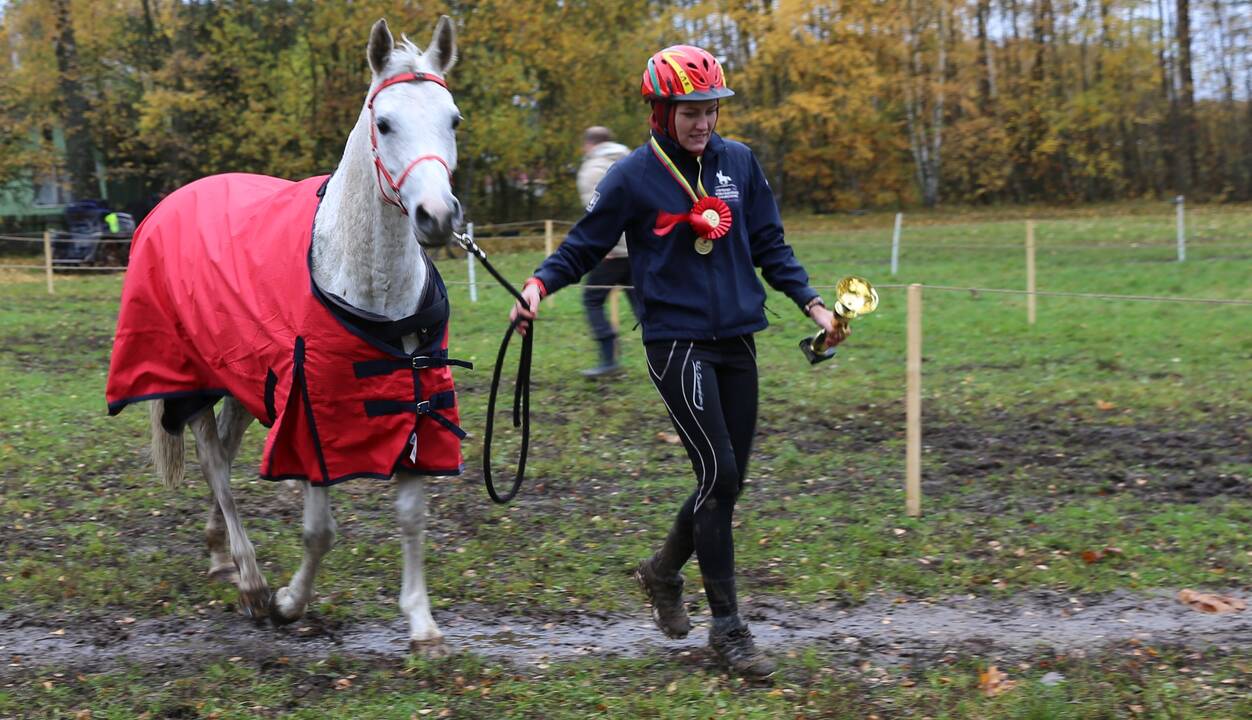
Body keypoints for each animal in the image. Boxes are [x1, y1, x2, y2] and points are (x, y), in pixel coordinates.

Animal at [133, 16, 465, 651]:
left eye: (453, 119)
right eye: (384, 123)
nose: (437, 216)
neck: (372, 291)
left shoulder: (415, 405)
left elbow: (412, 516)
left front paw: (422, 623)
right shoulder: (311, 420)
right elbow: (319, 532)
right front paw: (289, 603)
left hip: (244, 383)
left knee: (225, 454)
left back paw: (221, 556)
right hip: (193, 383)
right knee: (215, 464)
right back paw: (251, 582)